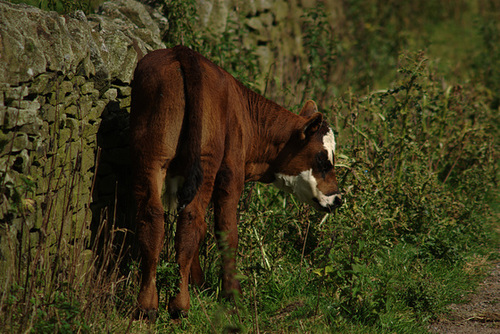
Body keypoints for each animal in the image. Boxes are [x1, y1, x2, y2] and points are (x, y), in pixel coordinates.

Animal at [129, 45, 342, 320]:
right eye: (323, 160)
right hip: (206, 159)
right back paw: (180, 305)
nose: (337, 198)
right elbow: (227, 232)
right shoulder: (231, 174)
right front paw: (232, 294)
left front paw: (198, 282)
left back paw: (147, 304)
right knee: (191, 219)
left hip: (152, 153)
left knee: (153, 217)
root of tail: (182, 52)